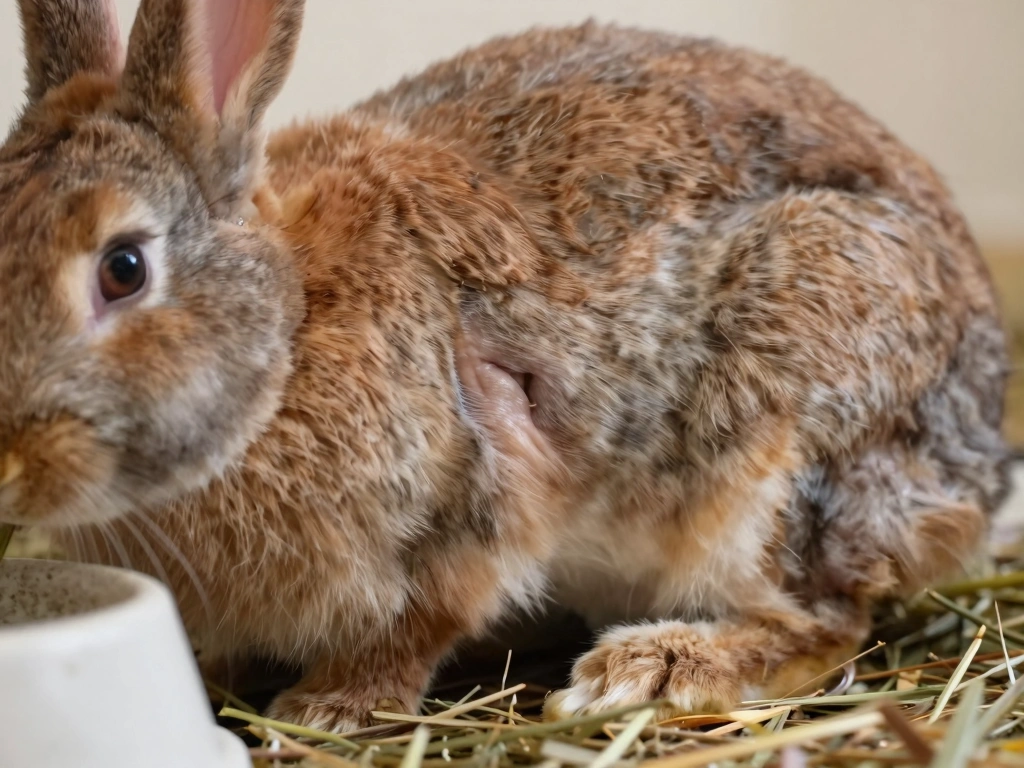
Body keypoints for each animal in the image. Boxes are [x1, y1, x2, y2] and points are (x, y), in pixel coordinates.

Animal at [0, 0, 1010, 731]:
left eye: (123, 268)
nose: (4, 466)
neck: (288, 339)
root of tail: (979, 474)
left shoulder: (471, 503)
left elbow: (420, 623)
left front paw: (329, 710)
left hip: (781, 447)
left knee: (823, 625)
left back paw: (649, 668)